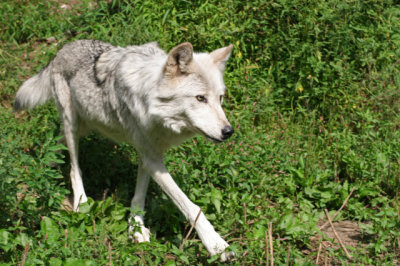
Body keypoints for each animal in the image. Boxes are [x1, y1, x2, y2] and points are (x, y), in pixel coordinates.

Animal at [14, 39, 234, 260]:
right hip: (72, 124)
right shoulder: (151, 157)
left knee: (58, 143)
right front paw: (217, 246)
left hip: (86, 124)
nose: (229, 131)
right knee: (74, 168)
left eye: (220, 98)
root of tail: (64, 48)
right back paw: (80, 201)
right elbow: (189, 205)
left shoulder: (149, 154)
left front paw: (136, 227)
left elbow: (140, 194)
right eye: (200, 98)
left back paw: (46, 164)